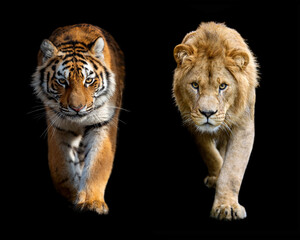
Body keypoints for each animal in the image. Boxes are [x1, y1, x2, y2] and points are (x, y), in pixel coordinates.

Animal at [32, 23, 125, 214]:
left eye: (88, 81)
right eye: (62, 81)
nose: (77, 108)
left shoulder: (102, 124)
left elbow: (97, 165)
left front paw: (91, 202)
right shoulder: (58, 126)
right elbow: (60, 168)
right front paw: (73, 196)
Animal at [172, 21, 258, 220]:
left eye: (223, 86)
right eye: (195, 85)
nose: (207, 113)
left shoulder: (244, 126)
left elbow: (232, 169)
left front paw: (227, 207)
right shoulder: (192, 123)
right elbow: (210, 154)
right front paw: (217, 177)